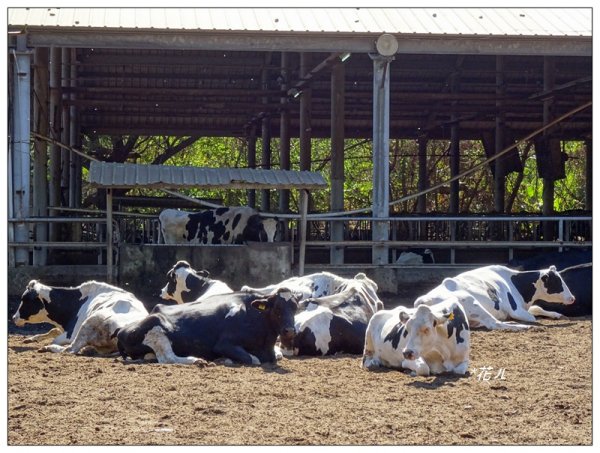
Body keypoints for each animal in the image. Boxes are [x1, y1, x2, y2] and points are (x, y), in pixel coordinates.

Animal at [12, 278, 148, 354]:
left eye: (25, 300)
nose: (13, 317)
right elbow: (53, 331)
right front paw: (31, 338)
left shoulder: (71, 334)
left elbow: (56, 338)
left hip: (90, 321)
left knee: (70, 349)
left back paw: (49, 348)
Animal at [115, 288, 298, 366]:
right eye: (277, 308)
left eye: (296, 307)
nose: (289, 331)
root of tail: (122, 330)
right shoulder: (224, 344)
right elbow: (251, 359)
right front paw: (225, 359)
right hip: (156, 327)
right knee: (167, 357)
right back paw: (196, 360)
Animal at [412, 264, 576, 330]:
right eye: (556, 282)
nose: (572, 298)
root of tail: (423, 299)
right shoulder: (516, 310)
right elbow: (532, 316)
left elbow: (537, 308)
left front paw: (557, 315)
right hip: (472, 303)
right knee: (493, 323)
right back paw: (522, 326)